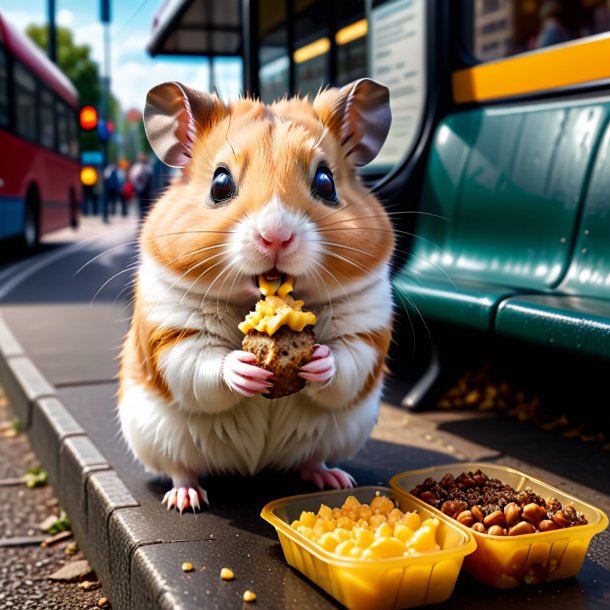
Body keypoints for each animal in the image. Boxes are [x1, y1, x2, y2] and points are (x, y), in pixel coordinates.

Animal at [117, 78, 394, 510]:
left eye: (326, 182)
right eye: (220, 184)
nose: (276, 236)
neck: (254, 300)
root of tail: (252, 468)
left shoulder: (367, 327)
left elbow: (347, 362)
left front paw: (316, 361)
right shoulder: (172, 331)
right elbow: (200, 365)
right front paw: (247, 368)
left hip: (345, 429)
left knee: (311, 459)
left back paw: (334, 478)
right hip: (152, 434)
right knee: (180, 466)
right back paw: (185, 499)